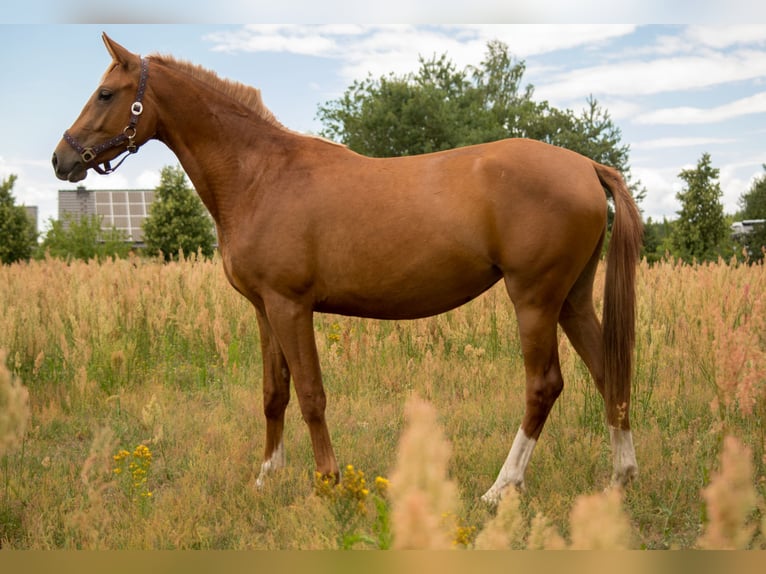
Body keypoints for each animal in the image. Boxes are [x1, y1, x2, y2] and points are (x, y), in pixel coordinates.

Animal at [51, 35, 644, 504]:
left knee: (544, 386)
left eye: (106, 94)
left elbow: (312, 395)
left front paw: (328, 482)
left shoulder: (291, 306)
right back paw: (620, 477)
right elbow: (274, 394)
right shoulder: (265, 311)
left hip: (535, 300)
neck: (261, 175)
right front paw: (267, 478)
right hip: (572, 299)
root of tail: (585, 166)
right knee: (608, 374)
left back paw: (501, 488)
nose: (62, 159)